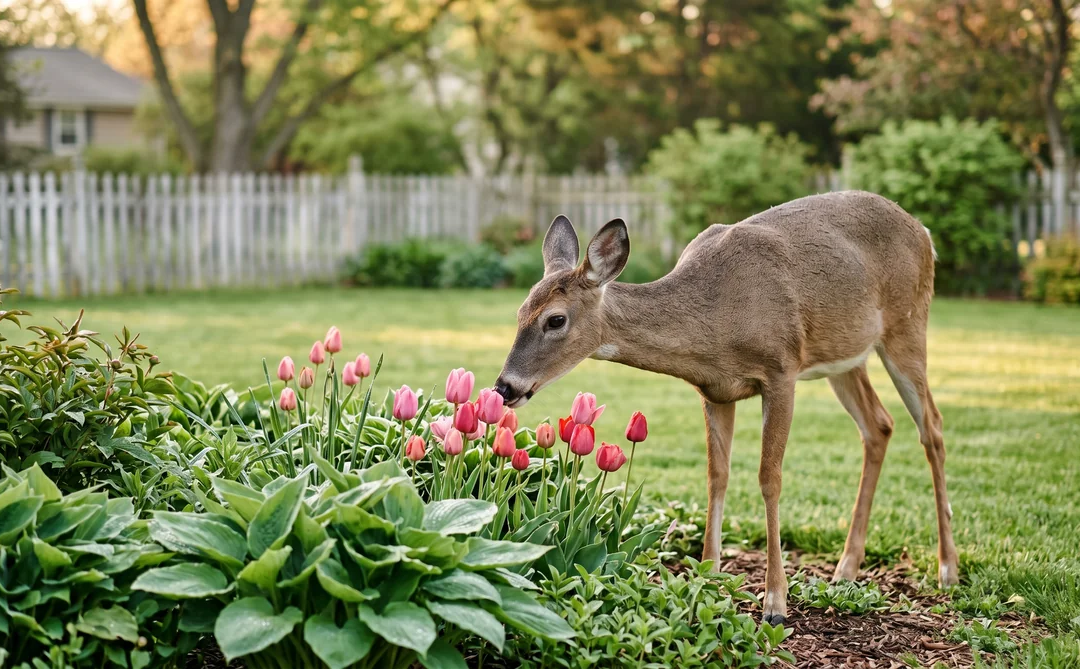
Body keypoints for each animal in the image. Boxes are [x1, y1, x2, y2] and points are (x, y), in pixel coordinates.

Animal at [493, 190, 959, 625]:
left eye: (555, 319)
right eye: (518, 312)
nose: (503, 387)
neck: (715, 322)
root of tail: (923, 232)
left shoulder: (782, 371)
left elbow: (769, 477)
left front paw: (775, 603)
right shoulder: (714, 391)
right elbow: (717, 476)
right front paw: (708, 575)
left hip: (907, 323)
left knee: (933, 427)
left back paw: (947, 569)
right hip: (845, 356)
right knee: (879, 425)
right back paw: (846, 568)